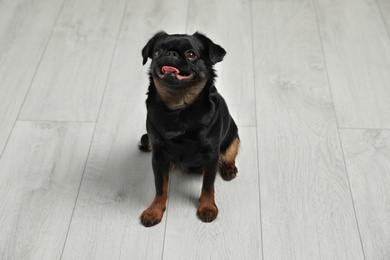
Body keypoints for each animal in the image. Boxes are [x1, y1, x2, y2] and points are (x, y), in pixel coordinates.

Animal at [139, 31, 239, 228]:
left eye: (191, 54)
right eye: (157, 52)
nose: (171, 54)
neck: (180, 107)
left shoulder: (211, 155)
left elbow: (208, 186)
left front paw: (207, 207)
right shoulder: (158, 156)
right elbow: (160, 187)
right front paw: (155, 210)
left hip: (233, 135)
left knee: (230, 152)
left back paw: (229, 168)